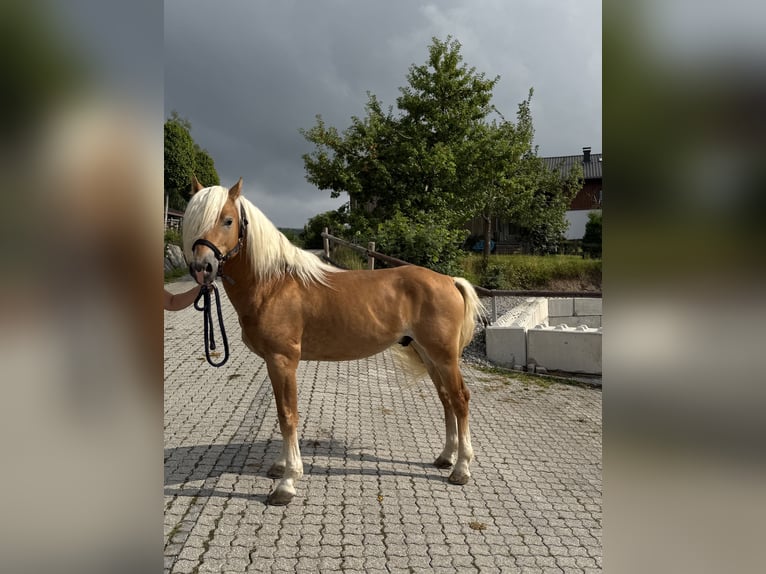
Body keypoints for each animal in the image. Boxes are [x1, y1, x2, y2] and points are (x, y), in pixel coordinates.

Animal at [183, 177, 485, 505]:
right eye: (192, 219)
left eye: (227, 220)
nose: (202, 267)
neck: (274, 285)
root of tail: (448, 280)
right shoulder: (274, 363)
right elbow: (281, 412)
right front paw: (281, 467)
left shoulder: (282, 360)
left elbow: (288, 415)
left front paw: (288, 482)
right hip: (429, 356)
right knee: (446, 399)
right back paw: (445, 457)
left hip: (443, 356)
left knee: (460, 399)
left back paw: (461, 469)